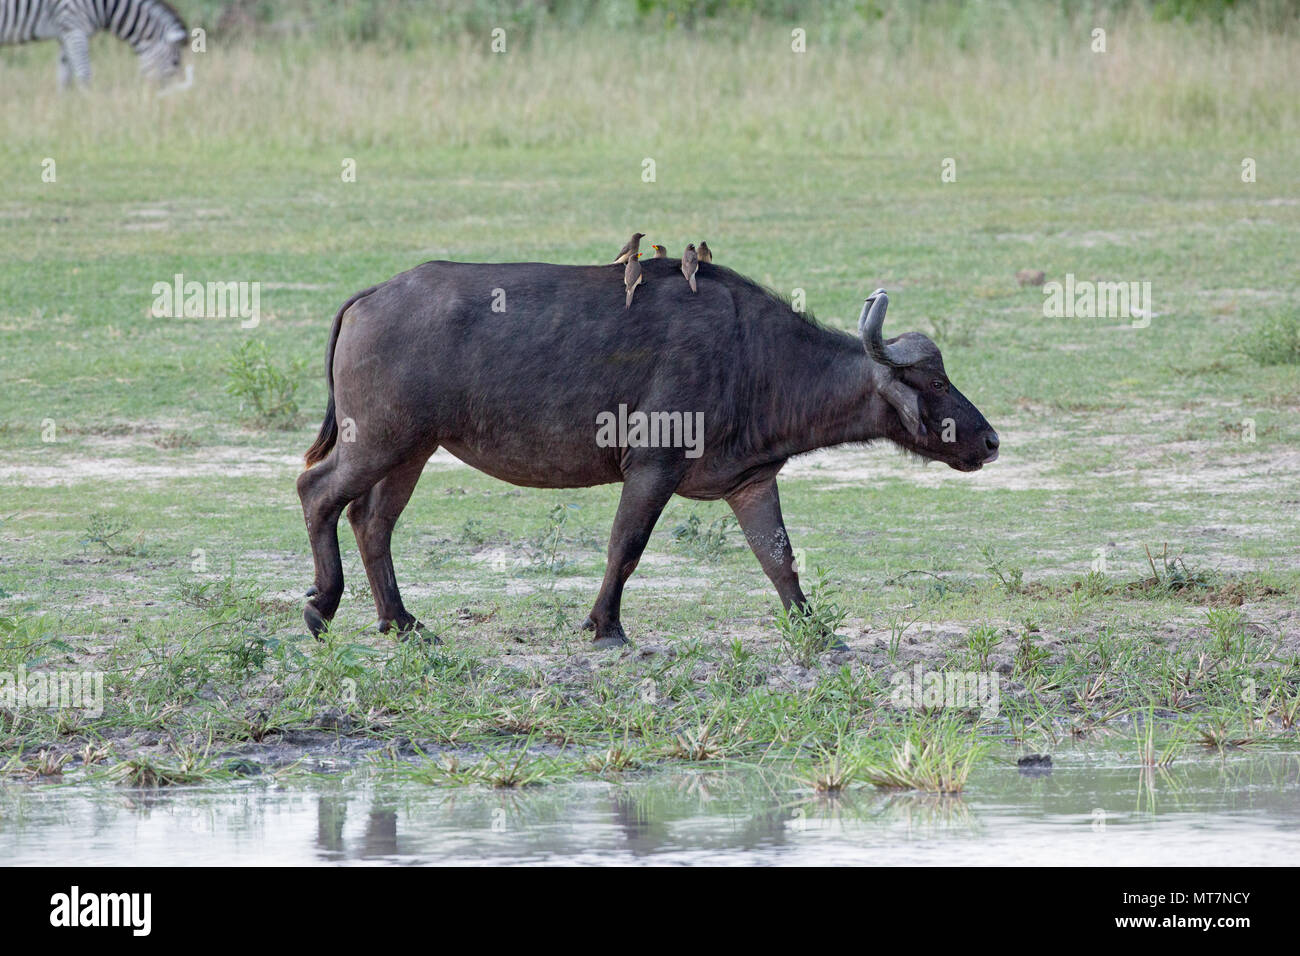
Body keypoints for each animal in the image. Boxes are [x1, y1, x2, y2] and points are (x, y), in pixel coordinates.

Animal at [0, 0, 188, 87]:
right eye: (175, 62)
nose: (163, 100)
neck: (105, 6)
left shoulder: (65, 34)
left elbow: (64, 78)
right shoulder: (75, 28)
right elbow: (84, 75)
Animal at [299, 261, 998, 647]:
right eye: (935, 382)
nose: (990, 441)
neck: (755, 358)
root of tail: (369, 296)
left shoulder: (751, 483)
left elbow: (779, 559)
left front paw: (816, 630)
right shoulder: (652, 468)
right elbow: (625, 547)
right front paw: (605, 626)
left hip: (412, 451)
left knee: (372, 520)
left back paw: (400, 621)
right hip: (380, 440)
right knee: (317, 492)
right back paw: (322, 606)